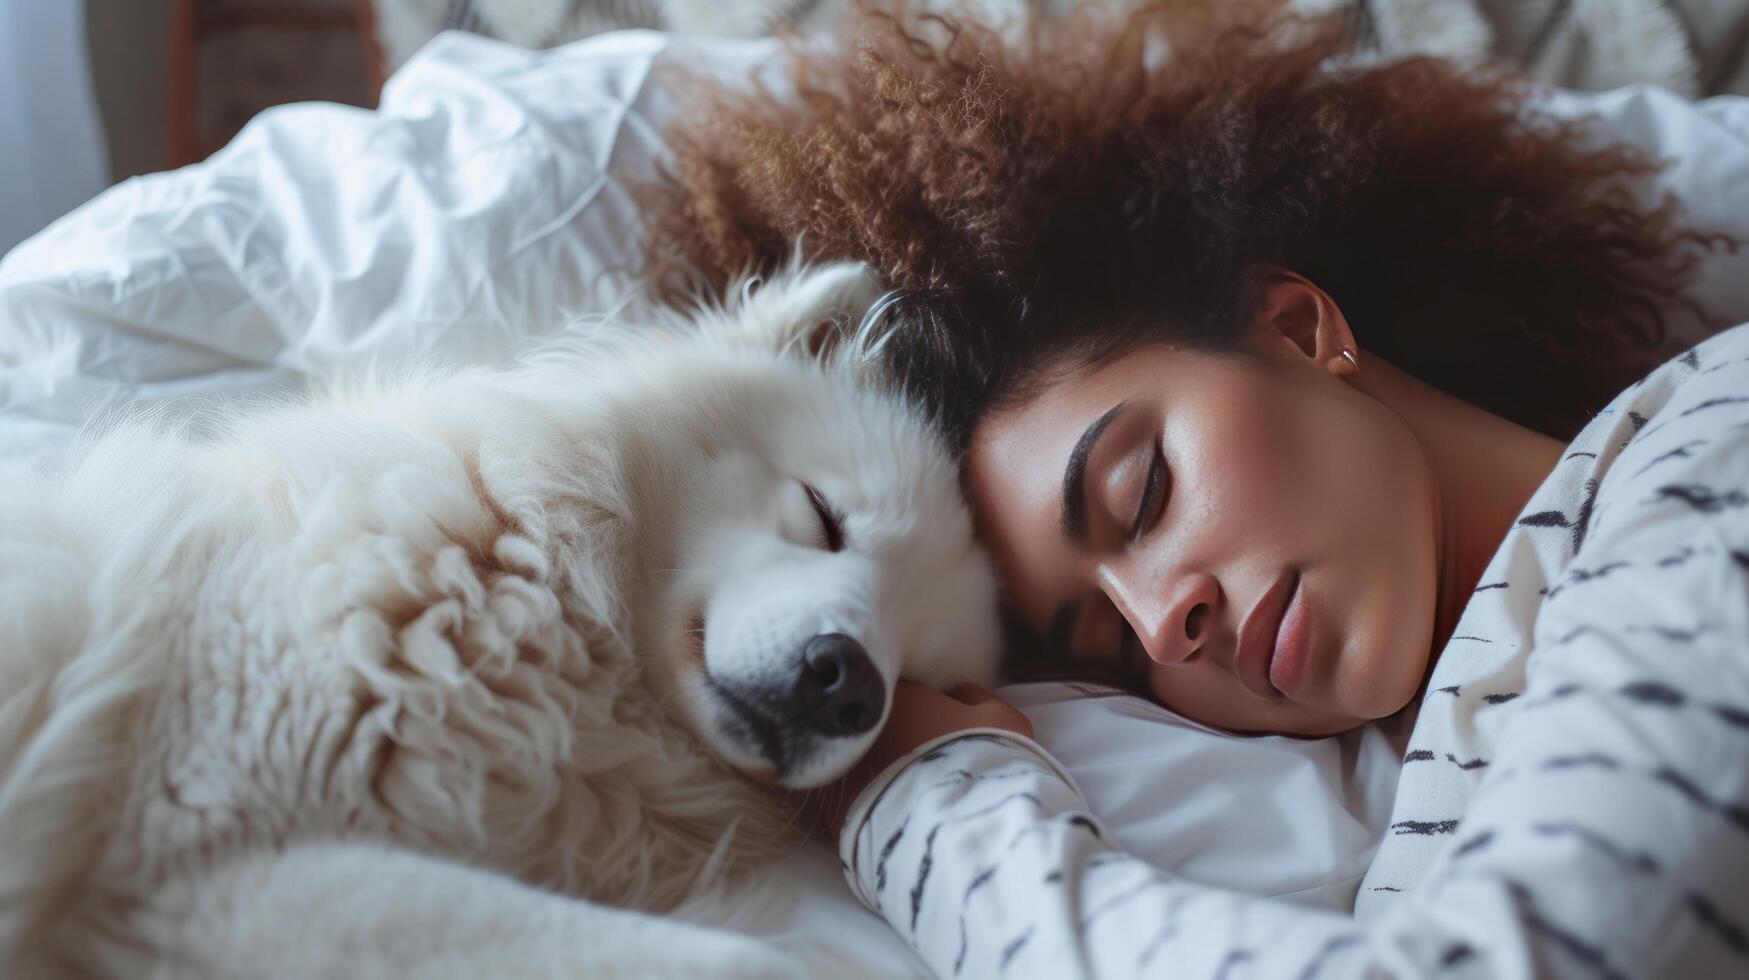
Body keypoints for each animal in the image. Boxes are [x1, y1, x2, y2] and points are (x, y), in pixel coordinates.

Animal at [0, 264, 1000, 973]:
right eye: (822, 517)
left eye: (916, 682)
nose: (848, 683)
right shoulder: (186, 845)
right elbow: (739, 963)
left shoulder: (224, 873)